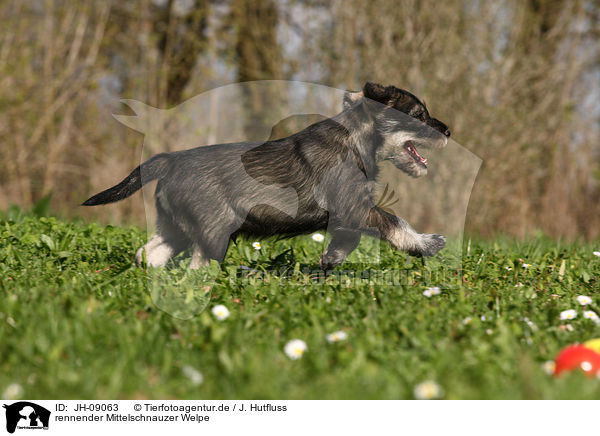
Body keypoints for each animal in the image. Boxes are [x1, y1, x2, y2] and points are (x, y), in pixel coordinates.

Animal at [84, 82, 450, 270]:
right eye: (419, 115)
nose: (448, 131)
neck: (357, 138)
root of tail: (169, 161)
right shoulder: (356, 207)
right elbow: (395, 222)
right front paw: (428, 244)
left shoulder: (350, 214)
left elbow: (351, 239)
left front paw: (329, 260)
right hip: (215, 231)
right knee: (196, 267)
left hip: (176, 226)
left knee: (149, 254)